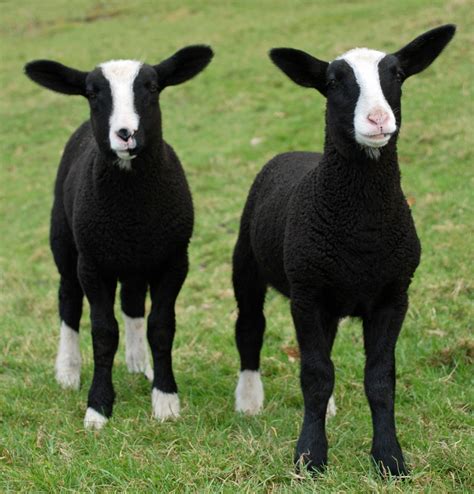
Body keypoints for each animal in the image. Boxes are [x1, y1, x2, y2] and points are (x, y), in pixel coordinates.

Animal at [24, 45, 213, 428]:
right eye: (92, 92)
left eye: (152, 87)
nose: (126, 133)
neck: (132, 212)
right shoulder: (93, 265)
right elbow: (103, 332)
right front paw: (97, 407)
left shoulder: (174, 260)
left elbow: (161, 326)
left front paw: (165, 399)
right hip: (65, 243)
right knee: (68, 299)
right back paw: (67, 371)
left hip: (135, 262)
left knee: (132, 303)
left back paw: (139, 363)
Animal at [232, 24, 456, 474]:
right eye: (334, 81)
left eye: (398, 75)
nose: (378, 119)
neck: (361, 230)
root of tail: (294, 153)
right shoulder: (306, 295)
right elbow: (316, 375)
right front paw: (310, 456)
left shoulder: (393, 296)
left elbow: (380, 378)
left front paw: (389, 459)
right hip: (247, 264)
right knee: (250, 327)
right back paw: (248, 401)